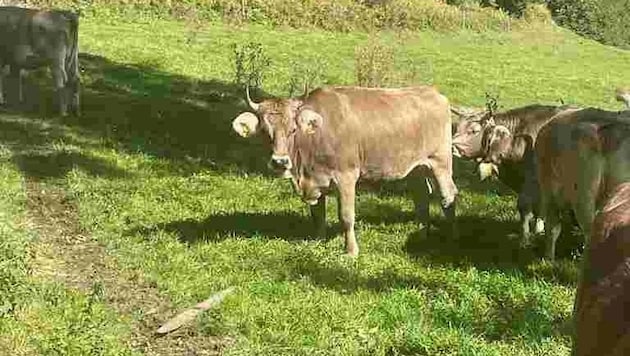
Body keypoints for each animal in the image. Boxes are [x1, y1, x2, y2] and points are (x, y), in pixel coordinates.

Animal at [232, 87, 460, 258]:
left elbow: (346, 216)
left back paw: (450, 236)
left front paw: (351, 251)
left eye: (293, 130)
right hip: (416, 168)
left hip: (441, 161)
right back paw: (422, 234)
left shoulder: (346, 177)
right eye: (264, 131)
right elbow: (318, 214)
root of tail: (432, 91)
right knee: (421, 196)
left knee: (448, 195)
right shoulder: (316, 181)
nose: (279, 161)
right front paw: (318, 240)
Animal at [452, 104, 580, 246]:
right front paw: (538, 230)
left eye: (474, 131)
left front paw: (524, 239)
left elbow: (525, 208)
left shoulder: (532, 183)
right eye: (456, 127)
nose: (453, 147)